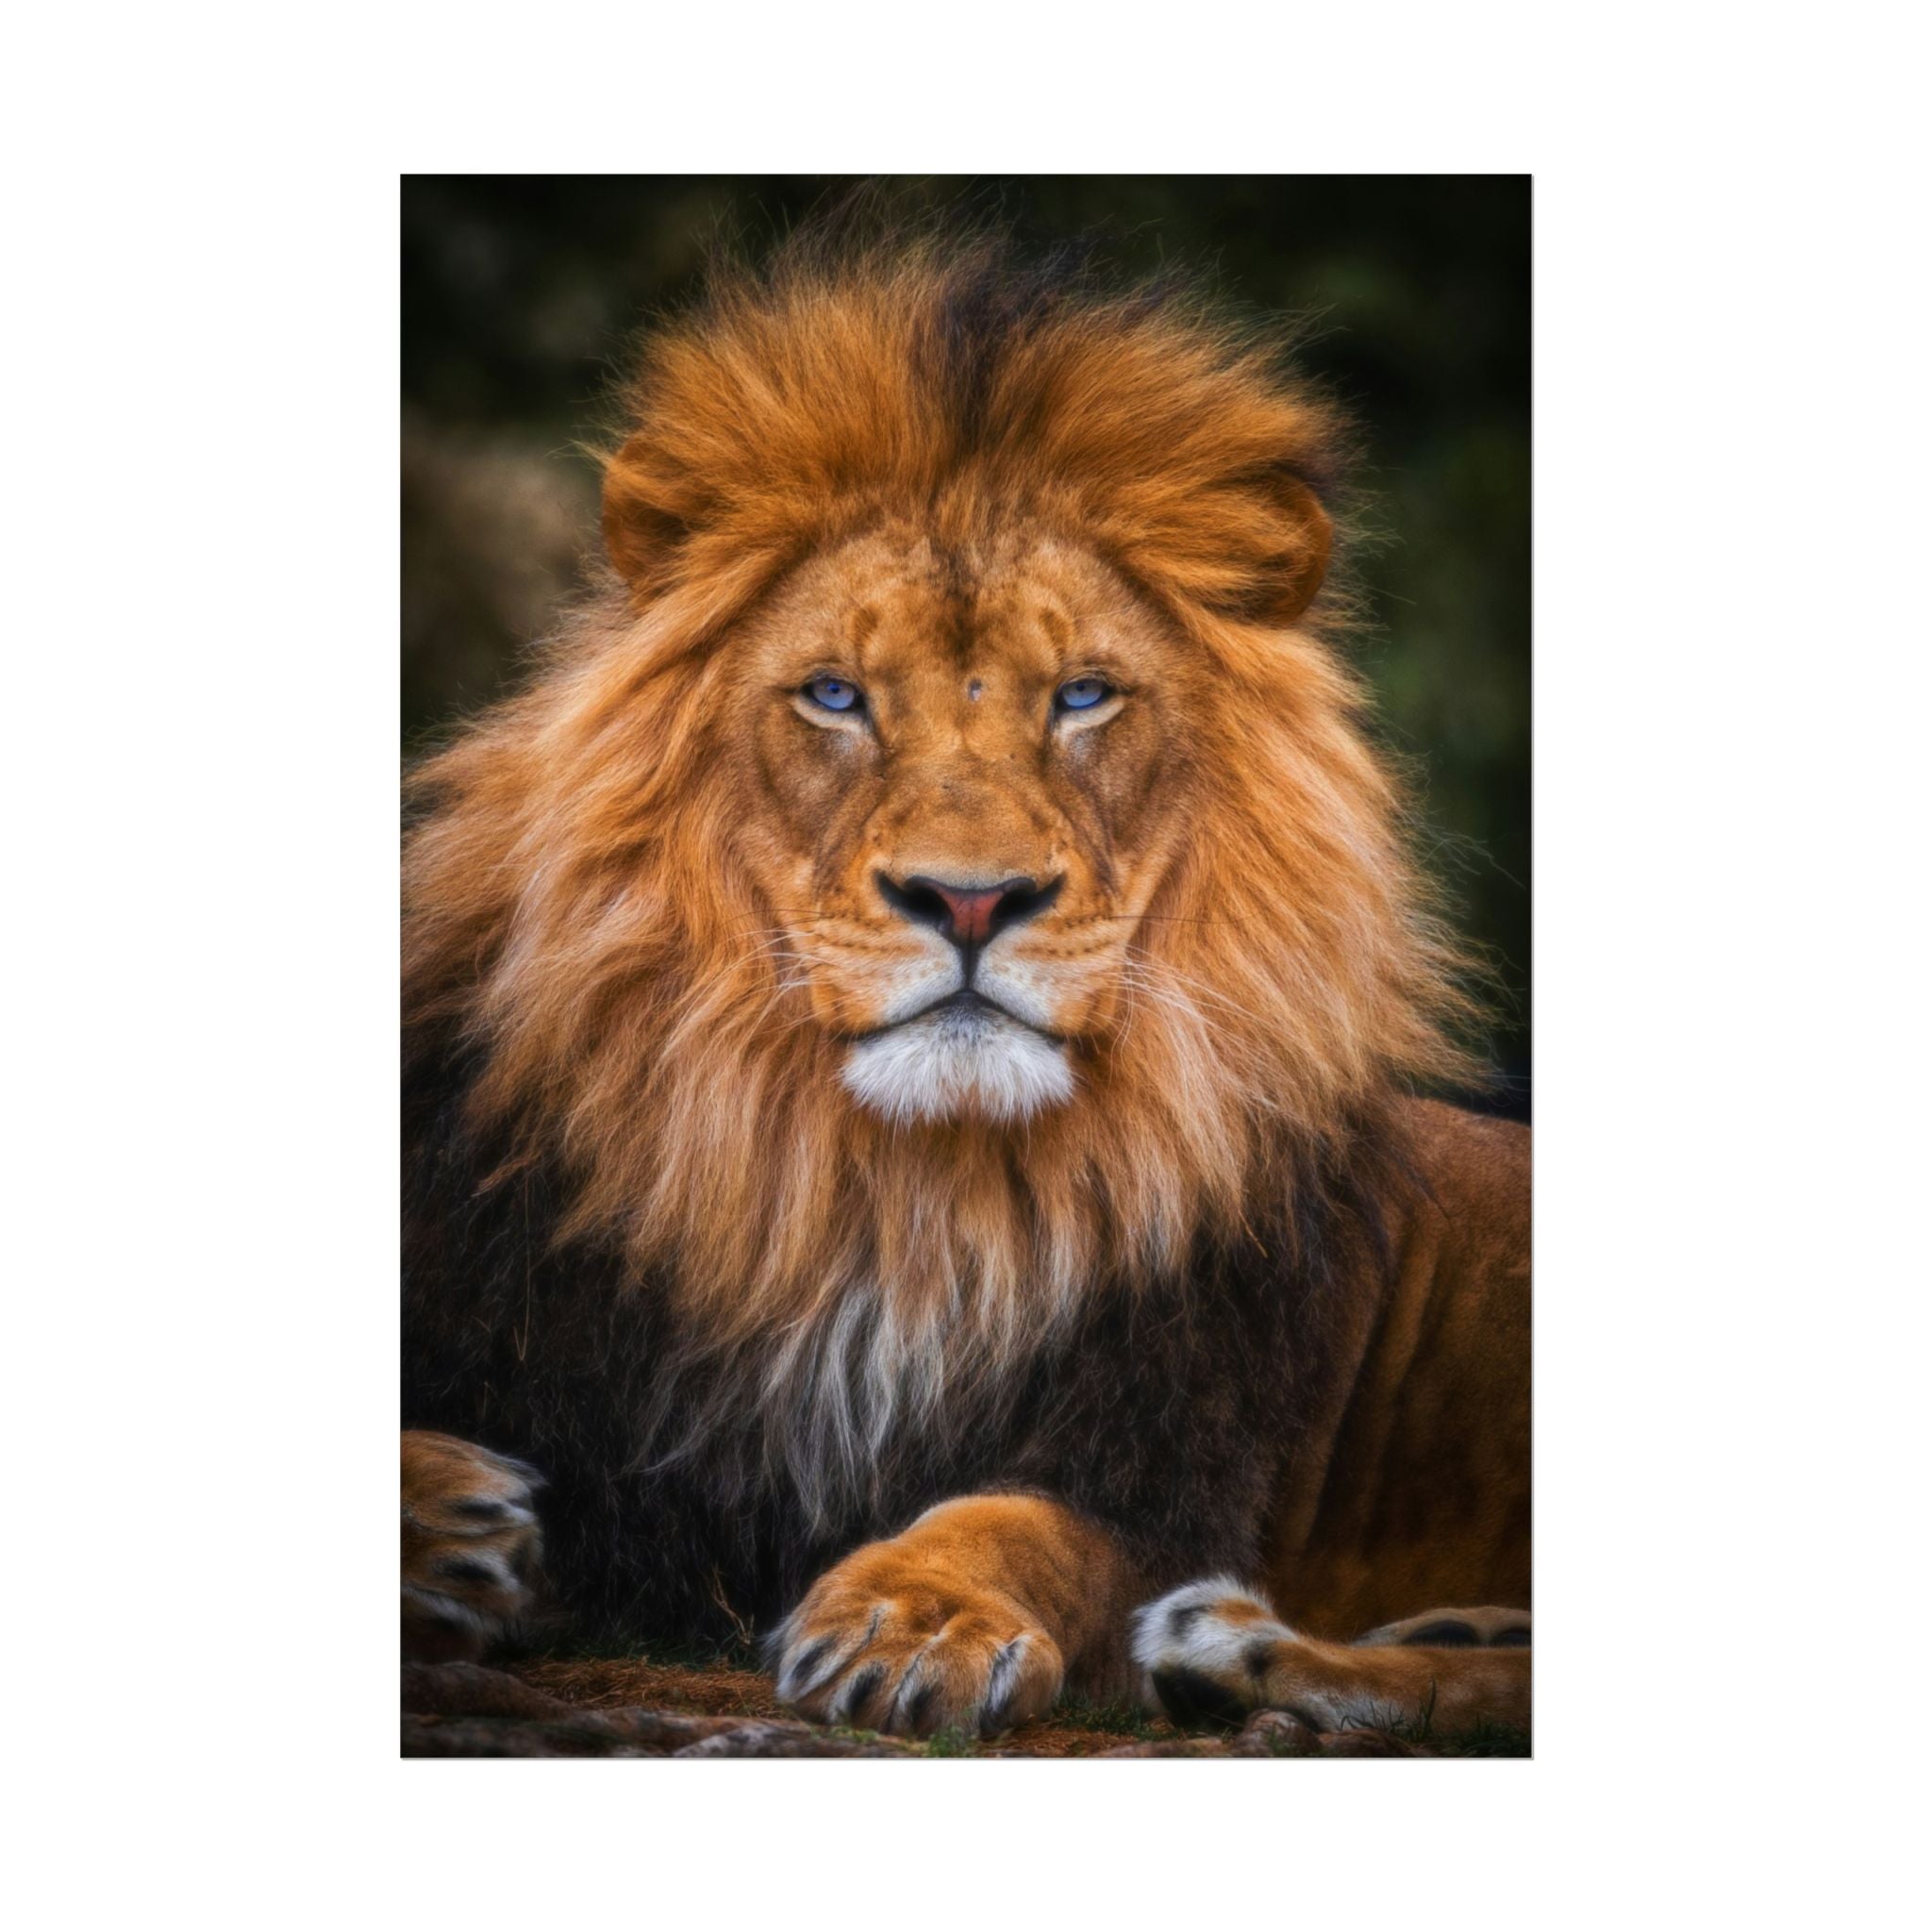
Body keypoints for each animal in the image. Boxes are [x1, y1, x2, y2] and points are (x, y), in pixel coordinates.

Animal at [401, 229, 1530, 1743]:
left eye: (1083, 696)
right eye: (833, 694)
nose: (972, 899)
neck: (888, 1197)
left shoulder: (1166, 1462)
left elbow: (1020, 1524)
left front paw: (912, 1616)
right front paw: (450, 1520)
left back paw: (1243, 1648)